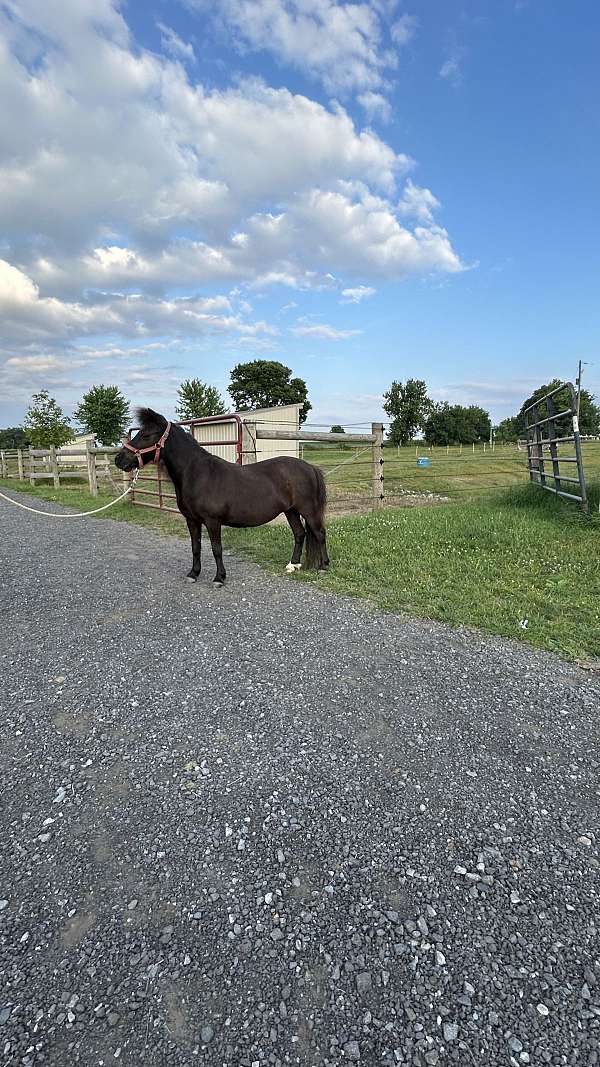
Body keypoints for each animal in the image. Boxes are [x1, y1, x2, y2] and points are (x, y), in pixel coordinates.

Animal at [112, 405, 326, 588]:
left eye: (146, 435)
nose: (119, 460)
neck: (197, 474)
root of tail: (310, 467)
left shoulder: (212, 521)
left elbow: (216, 549)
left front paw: (219, 578)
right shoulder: (192, 520)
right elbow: (196, 547)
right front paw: (193, 574)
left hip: (308, 511)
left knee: (319, 534)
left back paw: (323, 567)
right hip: (290, 511)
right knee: (299, 534)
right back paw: (293, 565)